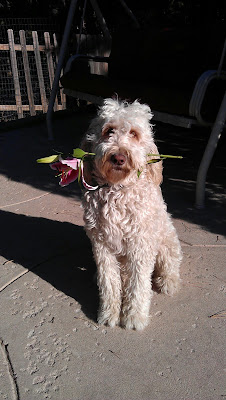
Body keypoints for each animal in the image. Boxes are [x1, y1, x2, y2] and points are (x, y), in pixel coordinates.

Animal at [81, 98, 182, 330]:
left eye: (134, 134)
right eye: (108, 131)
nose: (118, 157)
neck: (118, 189)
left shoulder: (141, 245)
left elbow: (138, 285)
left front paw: (134, 316)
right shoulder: (102, 244)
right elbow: (109, 281)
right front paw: (109, 313)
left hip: (167, 241)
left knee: (171, 263)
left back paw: (168, 282)